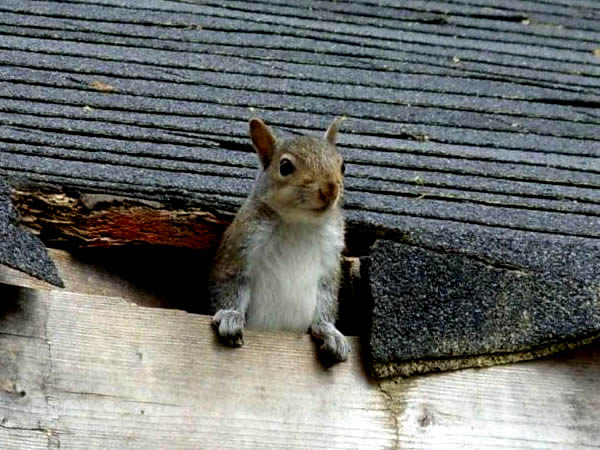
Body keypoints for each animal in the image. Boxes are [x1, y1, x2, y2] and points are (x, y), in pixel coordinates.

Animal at [210, 116, 352, 362]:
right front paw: (230, 315)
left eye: (342, 165)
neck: (299, 222)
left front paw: (329, 331)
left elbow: (327, 296)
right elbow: (230, 282)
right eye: (285, 167)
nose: (330, 189)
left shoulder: (330, 257)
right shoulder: (242, 245)